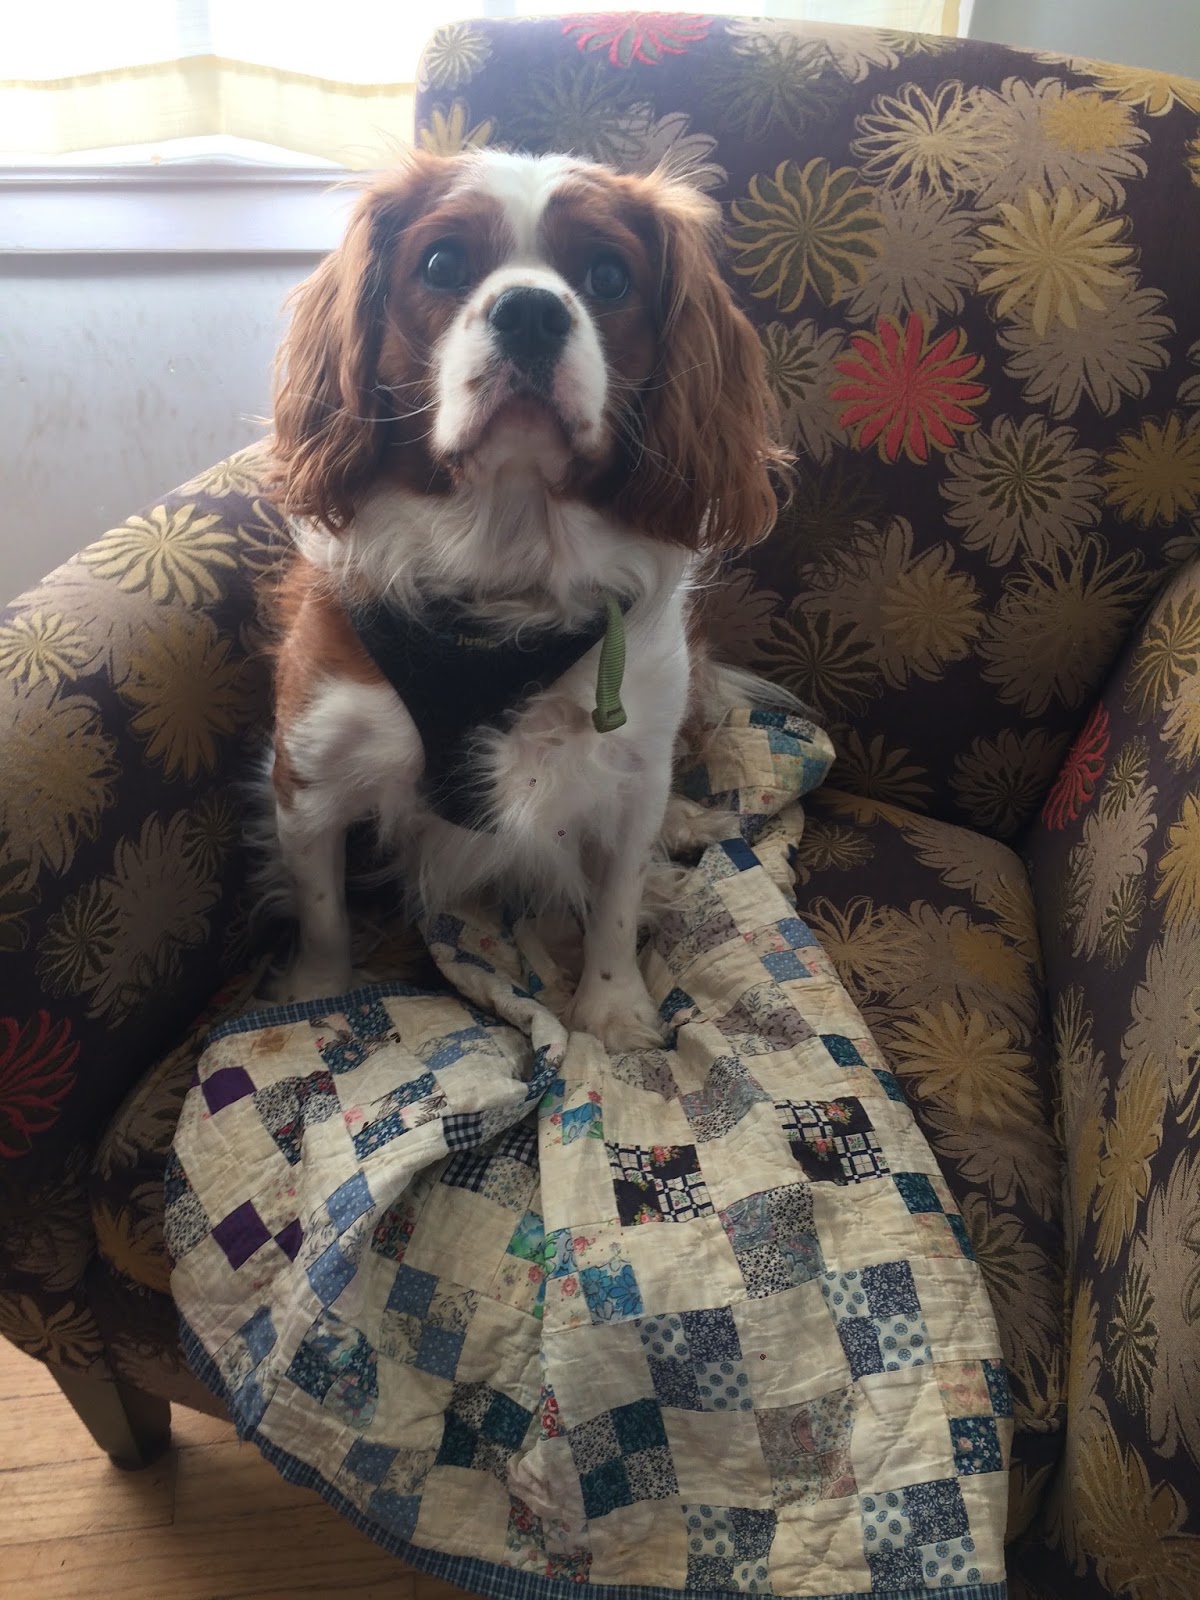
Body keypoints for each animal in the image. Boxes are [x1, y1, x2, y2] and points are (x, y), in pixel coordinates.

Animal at [265, 148, 788, 1052]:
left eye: (608, 277)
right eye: (442, 265)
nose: (532, 312)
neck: (506, 565)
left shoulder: (632, 769)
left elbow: (616, 899)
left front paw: (612, 1011)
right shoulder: (309, 769)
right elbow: (322, 912)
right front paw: (316, 998)